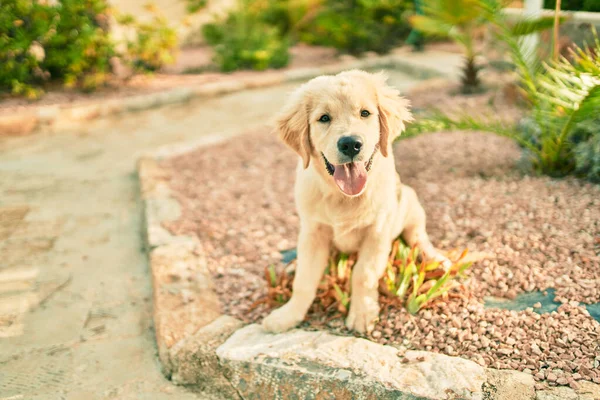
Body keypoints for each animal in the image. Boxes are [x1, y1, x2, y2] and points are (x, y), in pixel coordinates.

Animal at [262, 70, 450, 332]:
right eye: (324, 118)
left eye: (365, 113)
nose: (350, 144)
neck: (343, 196)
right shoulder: (313, 232)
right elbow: (304, 279)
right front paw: (288, 314)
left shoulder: (378, 231)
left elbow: (364, 273)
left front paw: (362, 313)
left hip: (410, 203)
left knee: (419, 238)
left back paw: (438, 260)